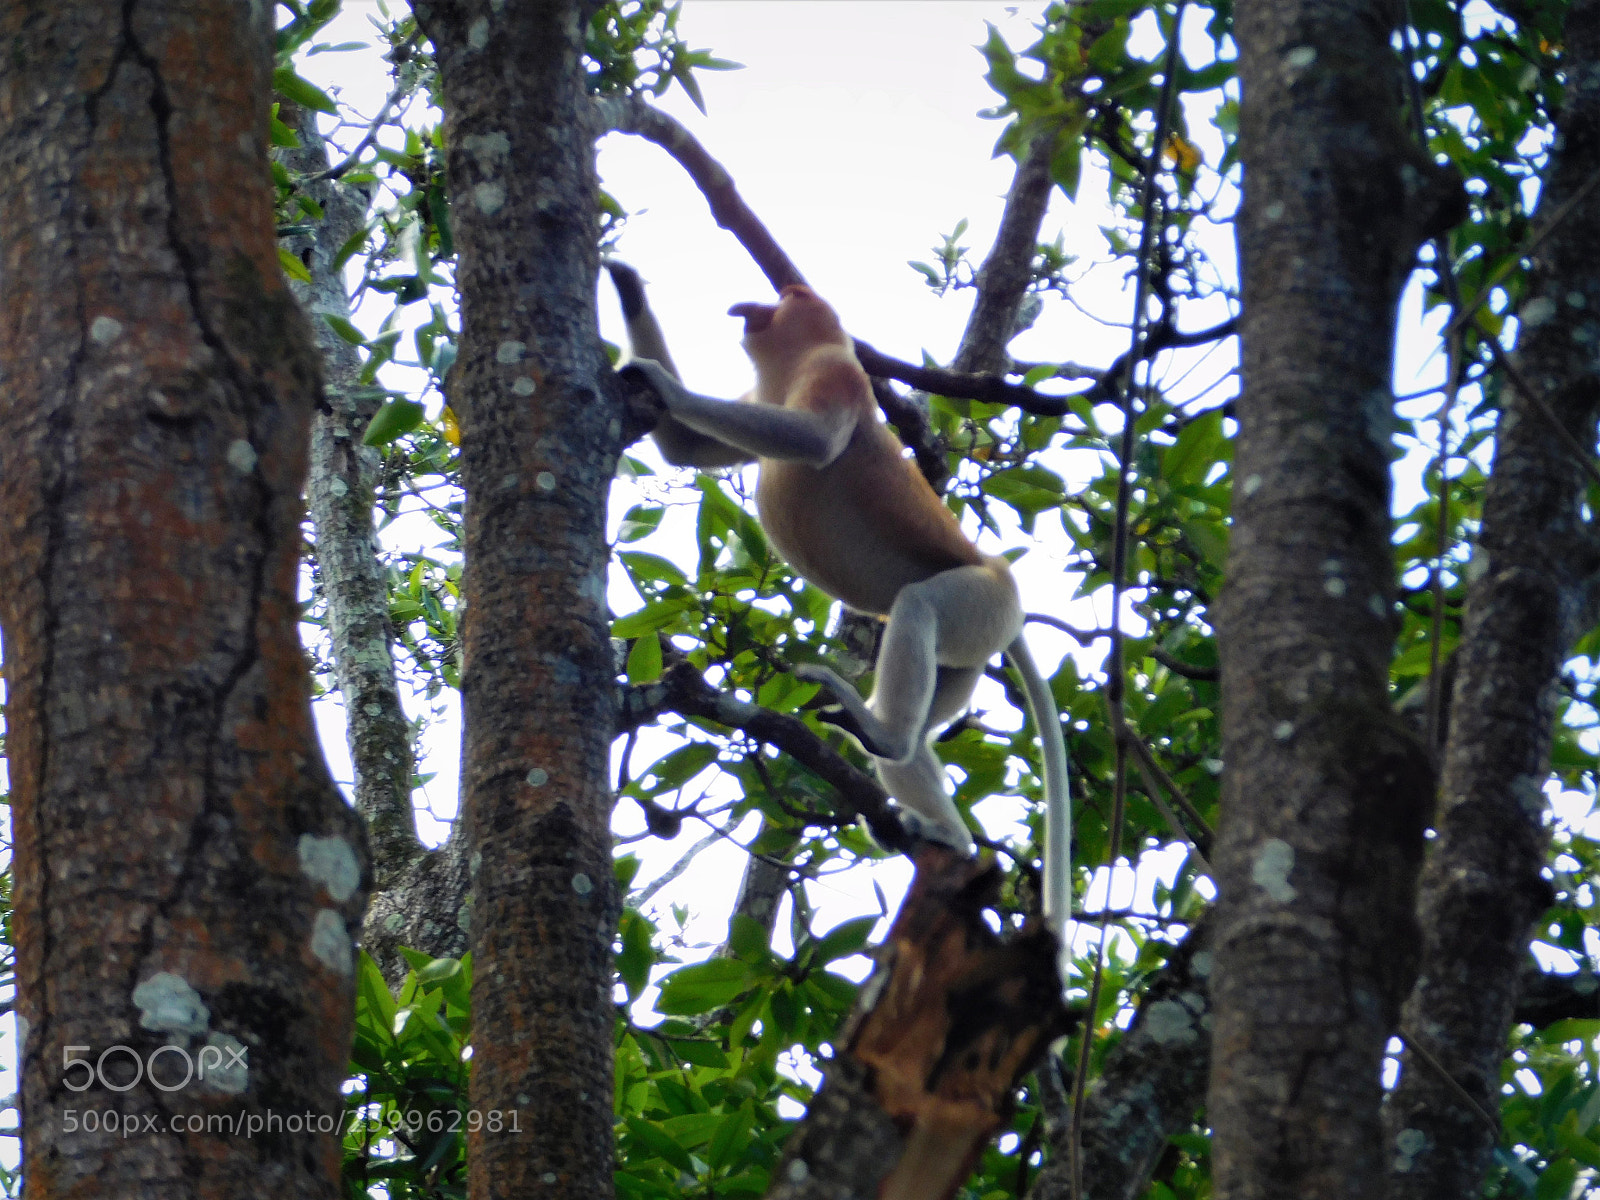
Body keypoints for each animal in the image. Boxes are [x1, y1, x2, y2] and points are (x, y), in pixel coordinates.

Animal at [604, 267, 1068, 947]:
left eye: (790, 296)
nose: (748, 308)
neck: (794, 361)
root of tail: (1001, 575)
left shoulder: (837, 374)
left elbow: (812, 440)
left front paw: (657, 379)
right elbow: (685, 448)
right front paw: (626, 284)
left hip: (981, 601)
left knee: (917, 610)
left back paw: (880, 733)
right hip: (968, 657)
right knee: (924, 731)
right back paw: (944, 832)